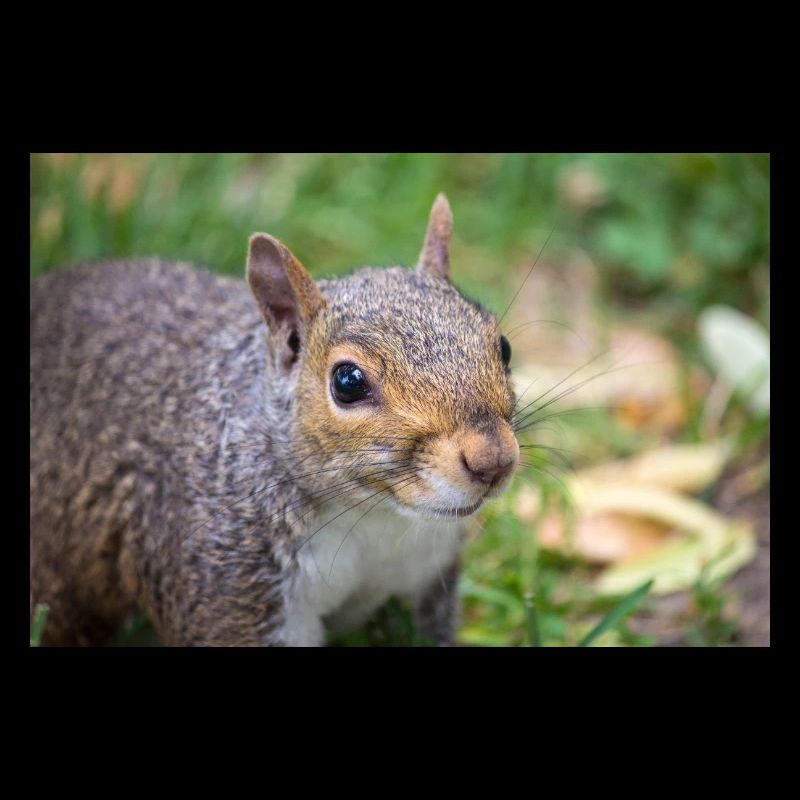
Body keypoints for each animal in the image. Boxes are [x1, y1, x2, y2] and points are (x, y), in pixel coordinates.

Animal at [29, 194, 520, 646]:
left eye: (504, 347)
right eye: (347, 381)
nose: (492, 461)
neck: (375, 516)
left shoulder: (427, 572)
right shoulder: (230, 583)